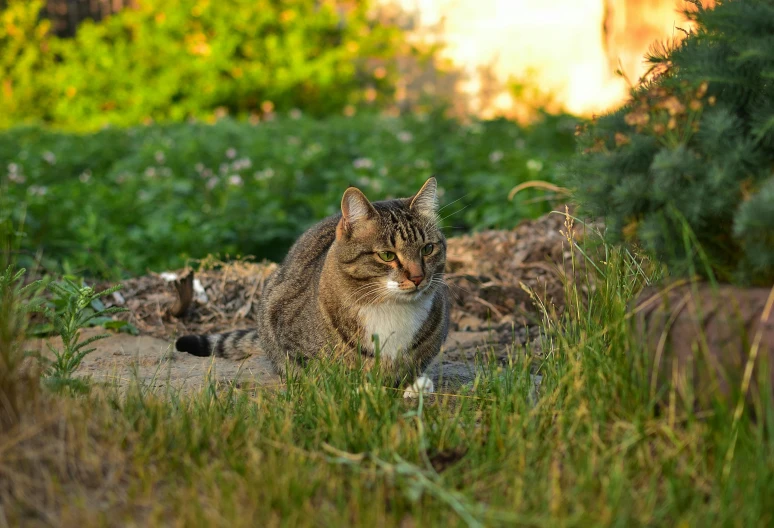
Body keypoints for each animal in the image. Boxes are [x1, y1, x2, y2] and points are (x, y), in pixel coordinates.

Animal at [177, 177, 452, 396]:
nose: (418, 277)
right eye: (387, 255)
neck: (391, 308)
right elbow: (321, 370)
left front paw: (414, 385)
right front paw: (356, 387)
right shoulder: (286, 331)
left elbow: (412, 365)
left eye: (427, 249)